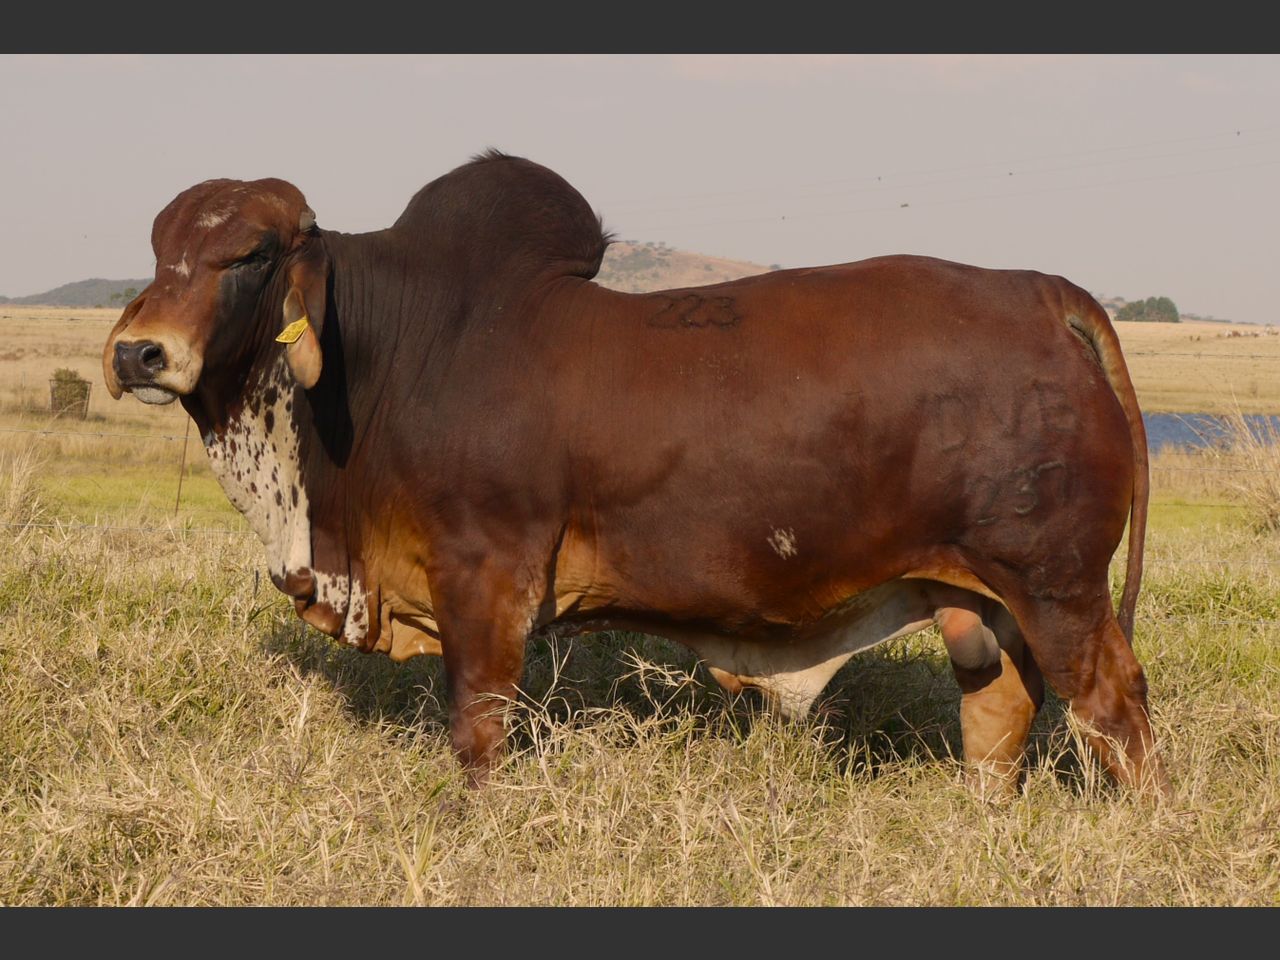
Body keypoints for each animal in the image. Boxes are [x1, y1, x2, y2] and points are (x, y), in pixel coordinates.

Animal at [103, 150, 1165, 796]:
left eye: (250, 254)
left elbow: (477, 727)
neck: (396, 353)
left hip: (1058, 587)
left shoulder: (486, 574)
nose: (138, 353)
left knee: (1115, 709)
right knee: (1001, 711)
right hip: (978, 599)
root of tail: (1042, 293)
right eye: (158, 250)